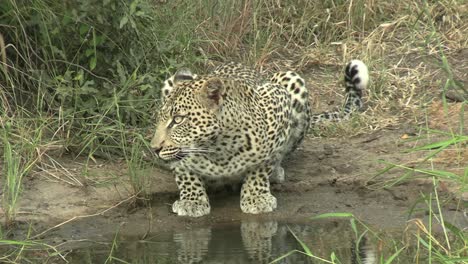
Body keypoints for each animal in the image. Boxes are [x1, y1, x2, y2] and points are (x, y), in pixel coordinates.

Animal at [152, 60, 368, 218]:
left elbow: (263, 164)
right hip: (170, 80)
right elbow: (184, 172)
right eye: (159, 119)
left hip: (291, 78)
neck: (219, 149)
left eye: (178, 120)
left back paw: (276, 174)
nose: (154, 148)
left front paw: (256, 198)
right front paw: (192, 201)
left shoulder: (277, 102)